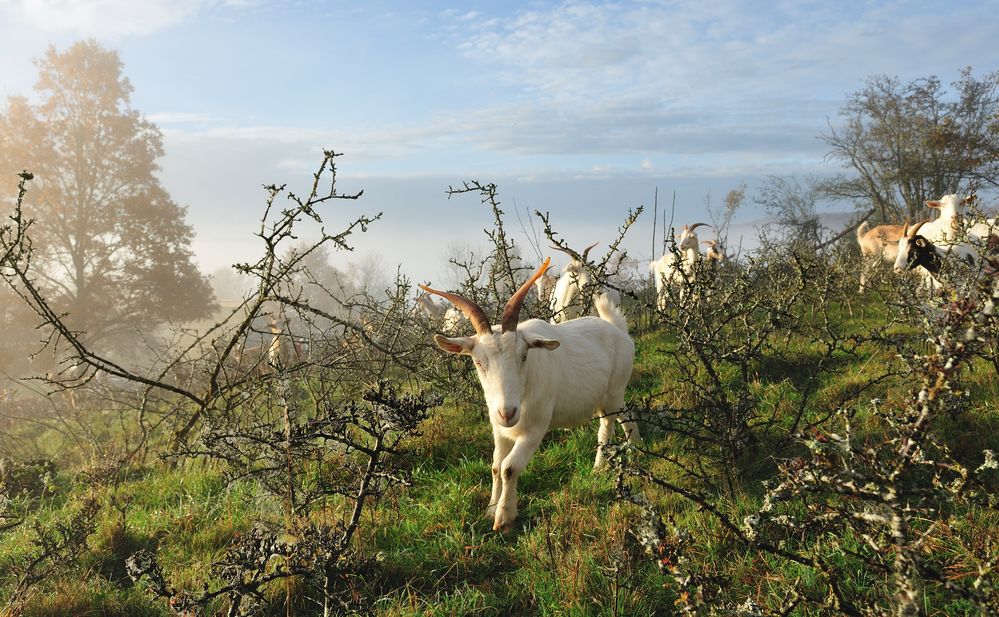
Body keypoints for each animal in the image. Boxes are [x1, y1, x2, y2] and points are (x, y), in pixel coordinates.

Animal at [422, 258, 640, 532]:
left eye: (524, 356)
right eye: (478, 362)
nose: (507, 412)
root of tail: (617, 329)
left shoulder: (535, 428)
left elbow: (509, 468)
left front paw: (504, 517)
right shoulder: (499, 430)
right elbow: (496, 466)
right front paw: (490, 509)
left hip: (615, 392)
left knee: (617, 421)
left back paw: (616, 459)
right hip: (605, 398)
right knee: (614, 420)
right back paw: (616, 457)